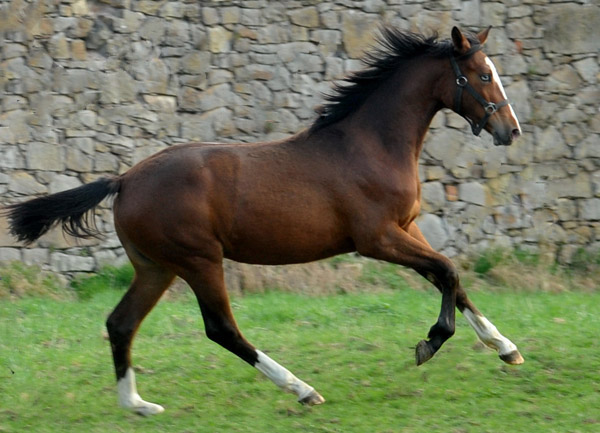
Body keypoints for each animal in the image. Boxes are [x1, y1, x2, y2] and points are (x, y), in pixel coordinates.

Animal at [4, 25, 524, 414]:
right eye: (482, 75)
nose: (511, 131)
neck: (370, 145)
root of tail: (126, 179)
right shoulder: (377, 238)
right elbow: (448, 272)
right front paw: (430, 343)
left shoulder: (407, 228)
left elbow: (452, 280)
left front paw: (506, 348)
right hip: (198, 261)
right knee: (221, 329)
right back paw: (302, 389)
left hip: (156, 267)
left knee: (120, 323)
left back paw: (137, 404)